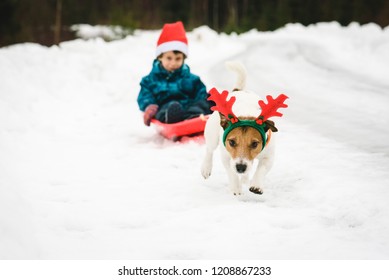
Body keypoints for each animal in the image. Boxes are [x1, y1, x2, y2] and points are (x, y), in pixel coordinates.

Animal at [200, 62, 288, 196]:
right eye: (231, 142)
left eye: (255, 144)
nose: (241, 168)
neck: (247, 115)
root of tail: (238, 91)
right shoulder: (226, 156)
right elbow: (231, 171)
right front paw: (236, 187)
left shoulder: (268, 157)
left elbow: (262, 169)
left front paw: (256, 185)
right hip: (212, 134)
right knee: (209, 149)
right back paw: (206, 168)